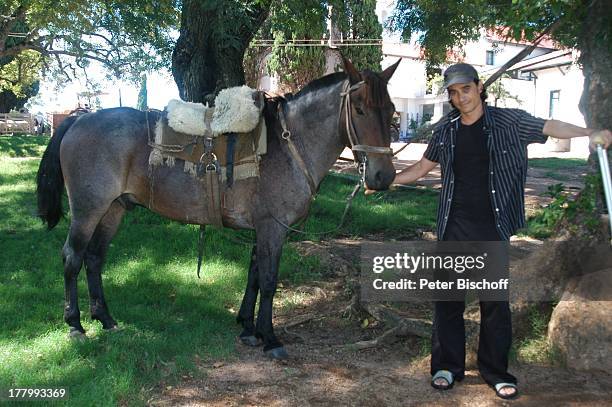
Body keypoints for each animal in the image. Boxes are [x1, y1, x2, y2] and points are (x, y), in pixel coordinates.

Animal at [37, 55, 402, 358]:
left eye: (391, 111)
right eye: (359, 109)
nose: (383, 176)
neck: (288, 146)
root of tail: (79, 119)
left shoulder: (262, 228)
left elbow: (254, 275)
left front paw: (248, 328)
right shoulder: (273, 227)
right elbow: (269, 279)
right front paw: (270, 338)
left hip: (113, 209)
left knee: (94, 258)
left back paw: (105, 318)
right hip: (88, 209)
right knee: (72, 257)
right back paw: (75, 324)